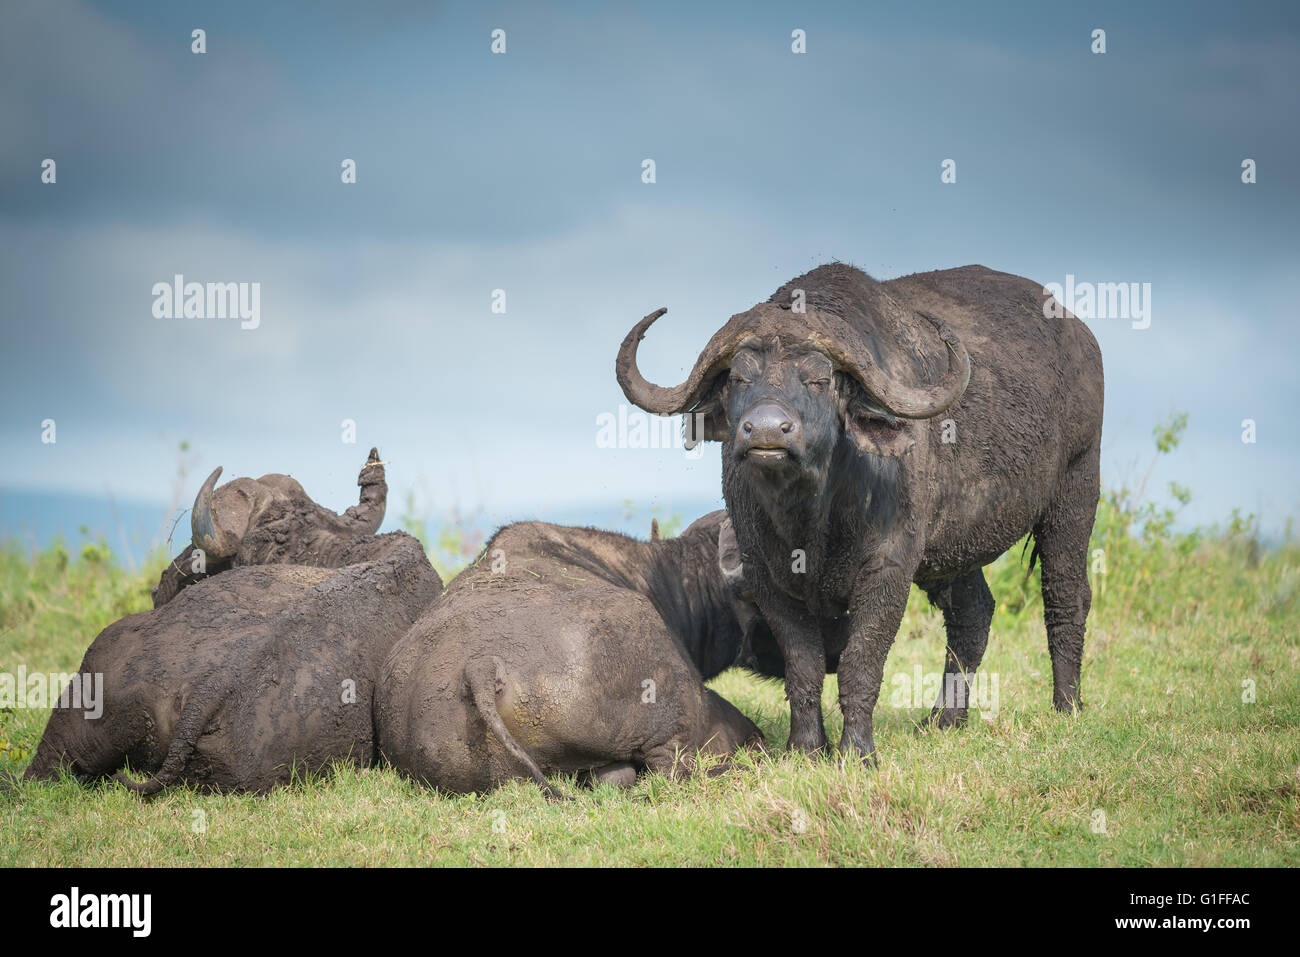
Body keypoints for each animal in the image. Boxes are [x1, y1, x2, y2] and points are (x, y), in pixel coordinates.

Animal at [613, 265, 1102, 759]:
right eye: (737, 379)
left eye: (820, 380)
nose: (767, 429)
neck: (811, 516)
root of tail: (1080, 336)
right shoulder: (765, 575)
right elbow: (803, 666)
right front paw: (806, 748)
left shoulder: (889, 568)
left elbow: (861, 661)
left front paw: (857, 751)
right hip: (955, 548)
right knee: (973, 614)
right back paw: (944, 720)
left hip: (1076, 490)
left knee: (1065, 595)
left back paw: (1066, 706)